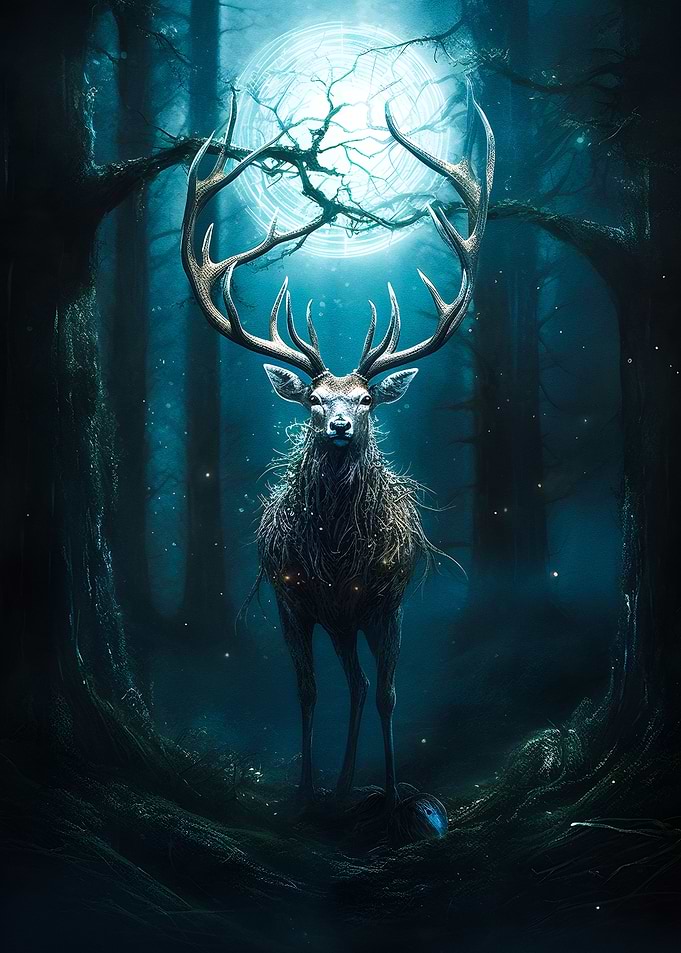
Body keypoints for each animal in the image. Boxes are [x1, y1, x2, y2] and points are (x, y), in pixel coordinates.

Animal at [181, 82, 494, 826]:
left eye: (368, 398)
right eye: (315, 401)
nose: (342, 427)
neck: (337, 557)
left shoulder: (387, 600)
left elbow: (387, 694)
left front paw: (392, 795)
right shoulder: (293, 602)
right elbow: (306, 692)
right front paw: (303, 790)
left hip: (355, 620)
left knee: (361, 685)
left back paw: (359, 786)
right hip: (333, 620)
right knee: (343, 683)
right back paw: (340, 786)